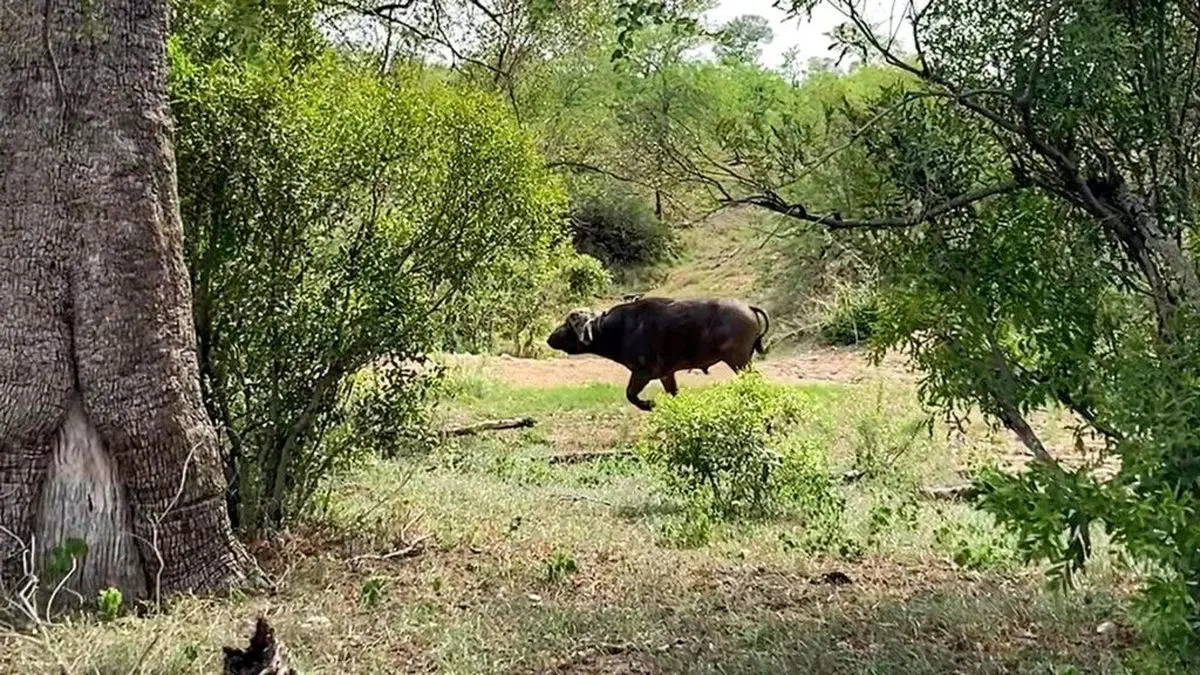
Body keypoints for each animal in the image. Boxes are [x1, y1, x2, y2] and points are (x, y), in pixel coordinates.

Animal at [546, 296, 770, 411]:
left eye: (568, 325)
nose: (550, 338)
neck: (621, 329)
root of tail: (748, 307)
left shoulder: (642, 373)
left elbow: (630, 394)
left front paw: (649, 404)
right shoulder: (666, 375)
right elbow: (674, 395)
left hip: (738, 361)